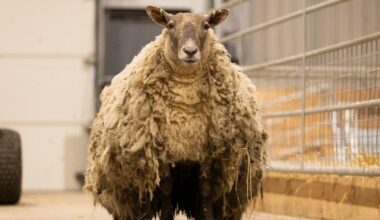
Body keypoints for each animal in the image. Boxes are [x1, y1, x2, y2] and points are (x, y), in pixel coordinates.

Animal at [84, 5, 268, 220]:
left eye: (206, 25)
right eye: (170, 25)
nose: (190, 51)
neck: (185, 108)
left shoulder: (206, 155)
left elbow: (205, 191)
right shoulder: (164, 155)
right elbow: (166, 190)